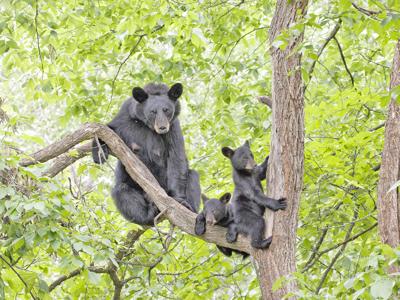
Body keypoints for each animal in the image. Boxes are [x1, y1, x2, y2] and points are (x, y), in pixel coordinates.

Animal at [92, 83, 202, 224]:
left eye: (166, 110)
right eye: (152, 112)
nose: (162, 127)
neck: (148, 126)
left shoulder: (173, 127)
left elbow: (176, 157)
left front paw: (180, 201)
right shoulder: (125, 116)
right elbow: (108, 129)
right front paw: (98, 154)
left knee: (193, 176)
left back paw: (190, 209)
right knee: (122, 192)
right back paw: (148, 214)